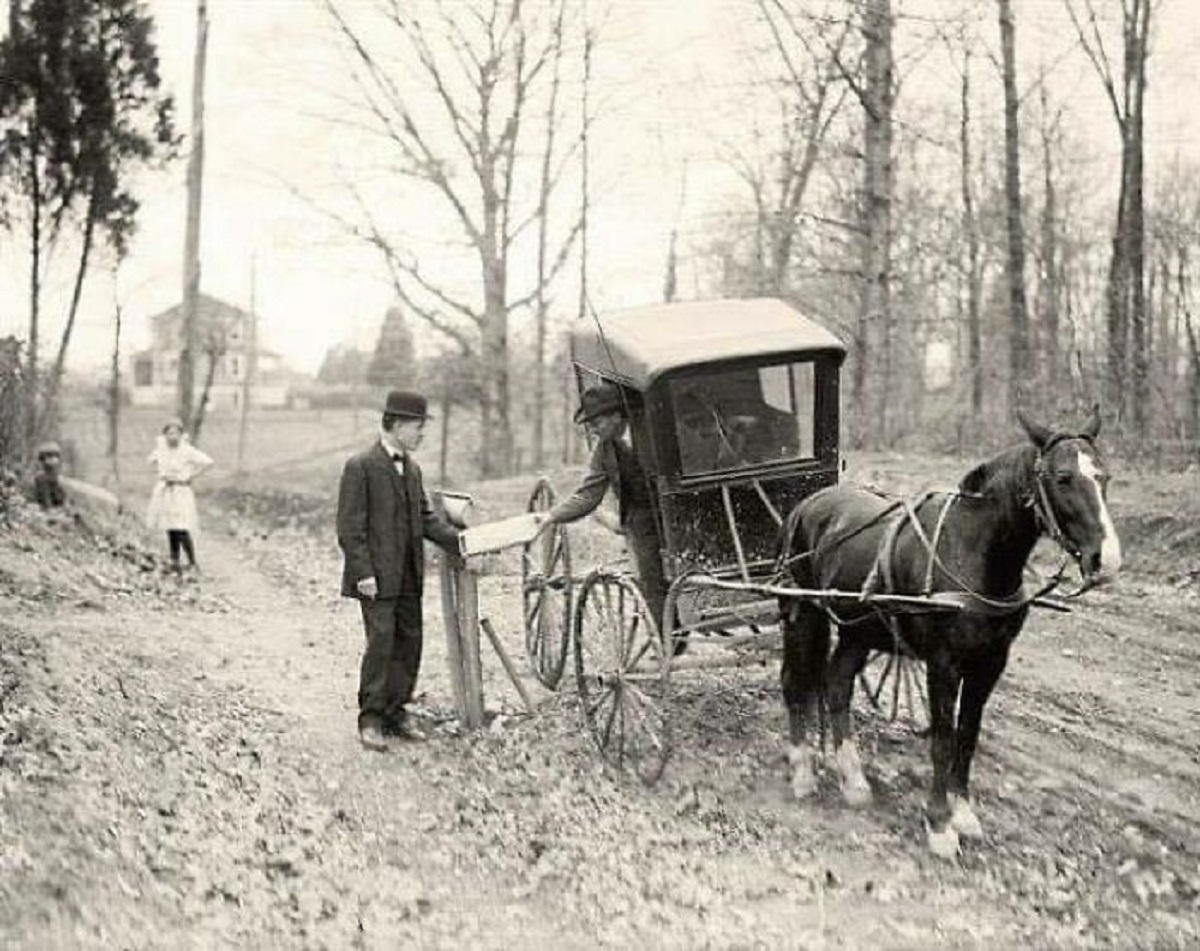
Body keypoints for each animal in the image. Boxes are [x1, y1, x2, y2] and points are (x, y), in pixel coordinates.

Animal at [772, 413, 1118, 859]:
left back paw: (853, 779)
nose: (1105, 561)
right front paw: (939, 824)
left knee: (836, 684)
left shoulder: (990, 663)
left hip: (858, 628)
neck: (971, 550)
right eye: (1062, 477)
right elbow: (942, 738)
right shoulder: (943, 664)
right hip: (803, 614)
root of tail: (806, 504)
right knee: (796, 683)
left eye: (1104, 475)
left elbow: (967, 735)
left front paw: (964, 813)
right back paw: (802, 771)